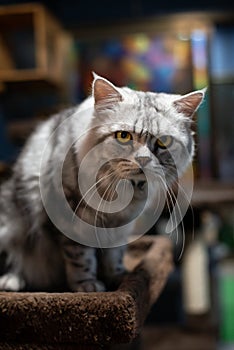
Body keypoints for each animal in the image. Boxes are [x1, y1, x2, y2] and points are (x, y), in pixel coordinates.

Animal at [0, 74, 205, 292]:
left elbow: (115, 255)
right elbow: (81, 257)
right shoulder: (71, 217)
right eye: (123, 136)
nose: (143, 160)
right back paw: (12, 281)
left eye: (163, 141)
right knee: (15, 261)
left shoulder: (121, 226)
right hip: (11, 225)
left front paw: (122, 279)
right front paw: (87, 285)